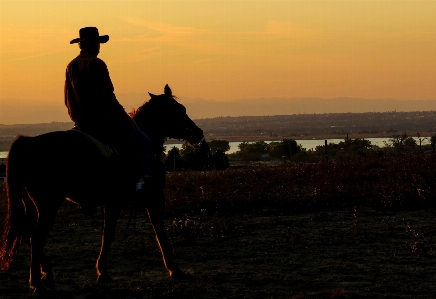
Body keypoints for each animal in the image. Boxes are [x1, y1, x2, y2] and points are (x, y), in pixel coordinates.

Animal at [0, 85, 204, 298]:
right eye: (177, 110)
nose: (198, 133)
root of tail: (29, 143)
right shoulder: (153, 198)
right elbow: (159, 233)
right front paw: (175, 270)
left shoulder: (112, 202)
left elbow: (107, 234)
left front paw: (102, 272)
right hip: (48, 205)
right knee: (36, 237)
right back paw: (37, 284)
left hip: (31, 204)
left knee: (26, 233)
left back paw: (46, 273)